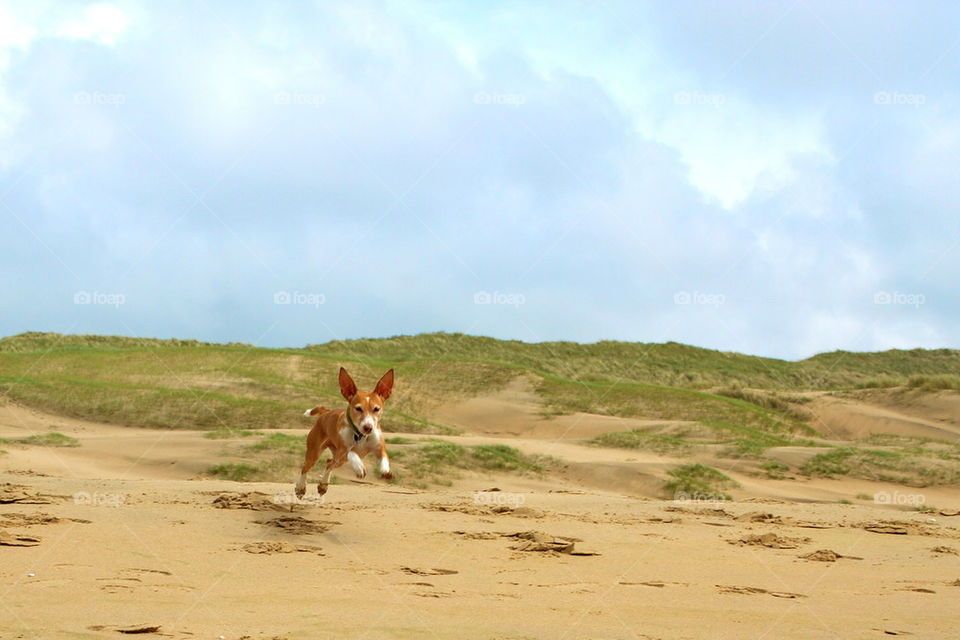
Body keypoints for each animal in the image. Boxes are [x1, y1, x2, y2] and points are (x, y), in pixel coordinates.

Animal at [296, 368, 394, 498]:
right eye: (358, 408)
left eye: (376, 409)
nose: (368, 427)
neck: (361, 436)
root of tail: (325, 412)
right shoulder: (343, 450)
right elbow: (351, 453)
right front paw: (359, 467)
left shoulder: (379, 447)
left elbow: (384, 458)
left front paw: (385, 470)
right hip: (315, 452)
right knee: (305, 467)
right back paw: (300, 487)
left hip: (338, 460)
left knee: (329, 463)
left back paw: (323, 484)